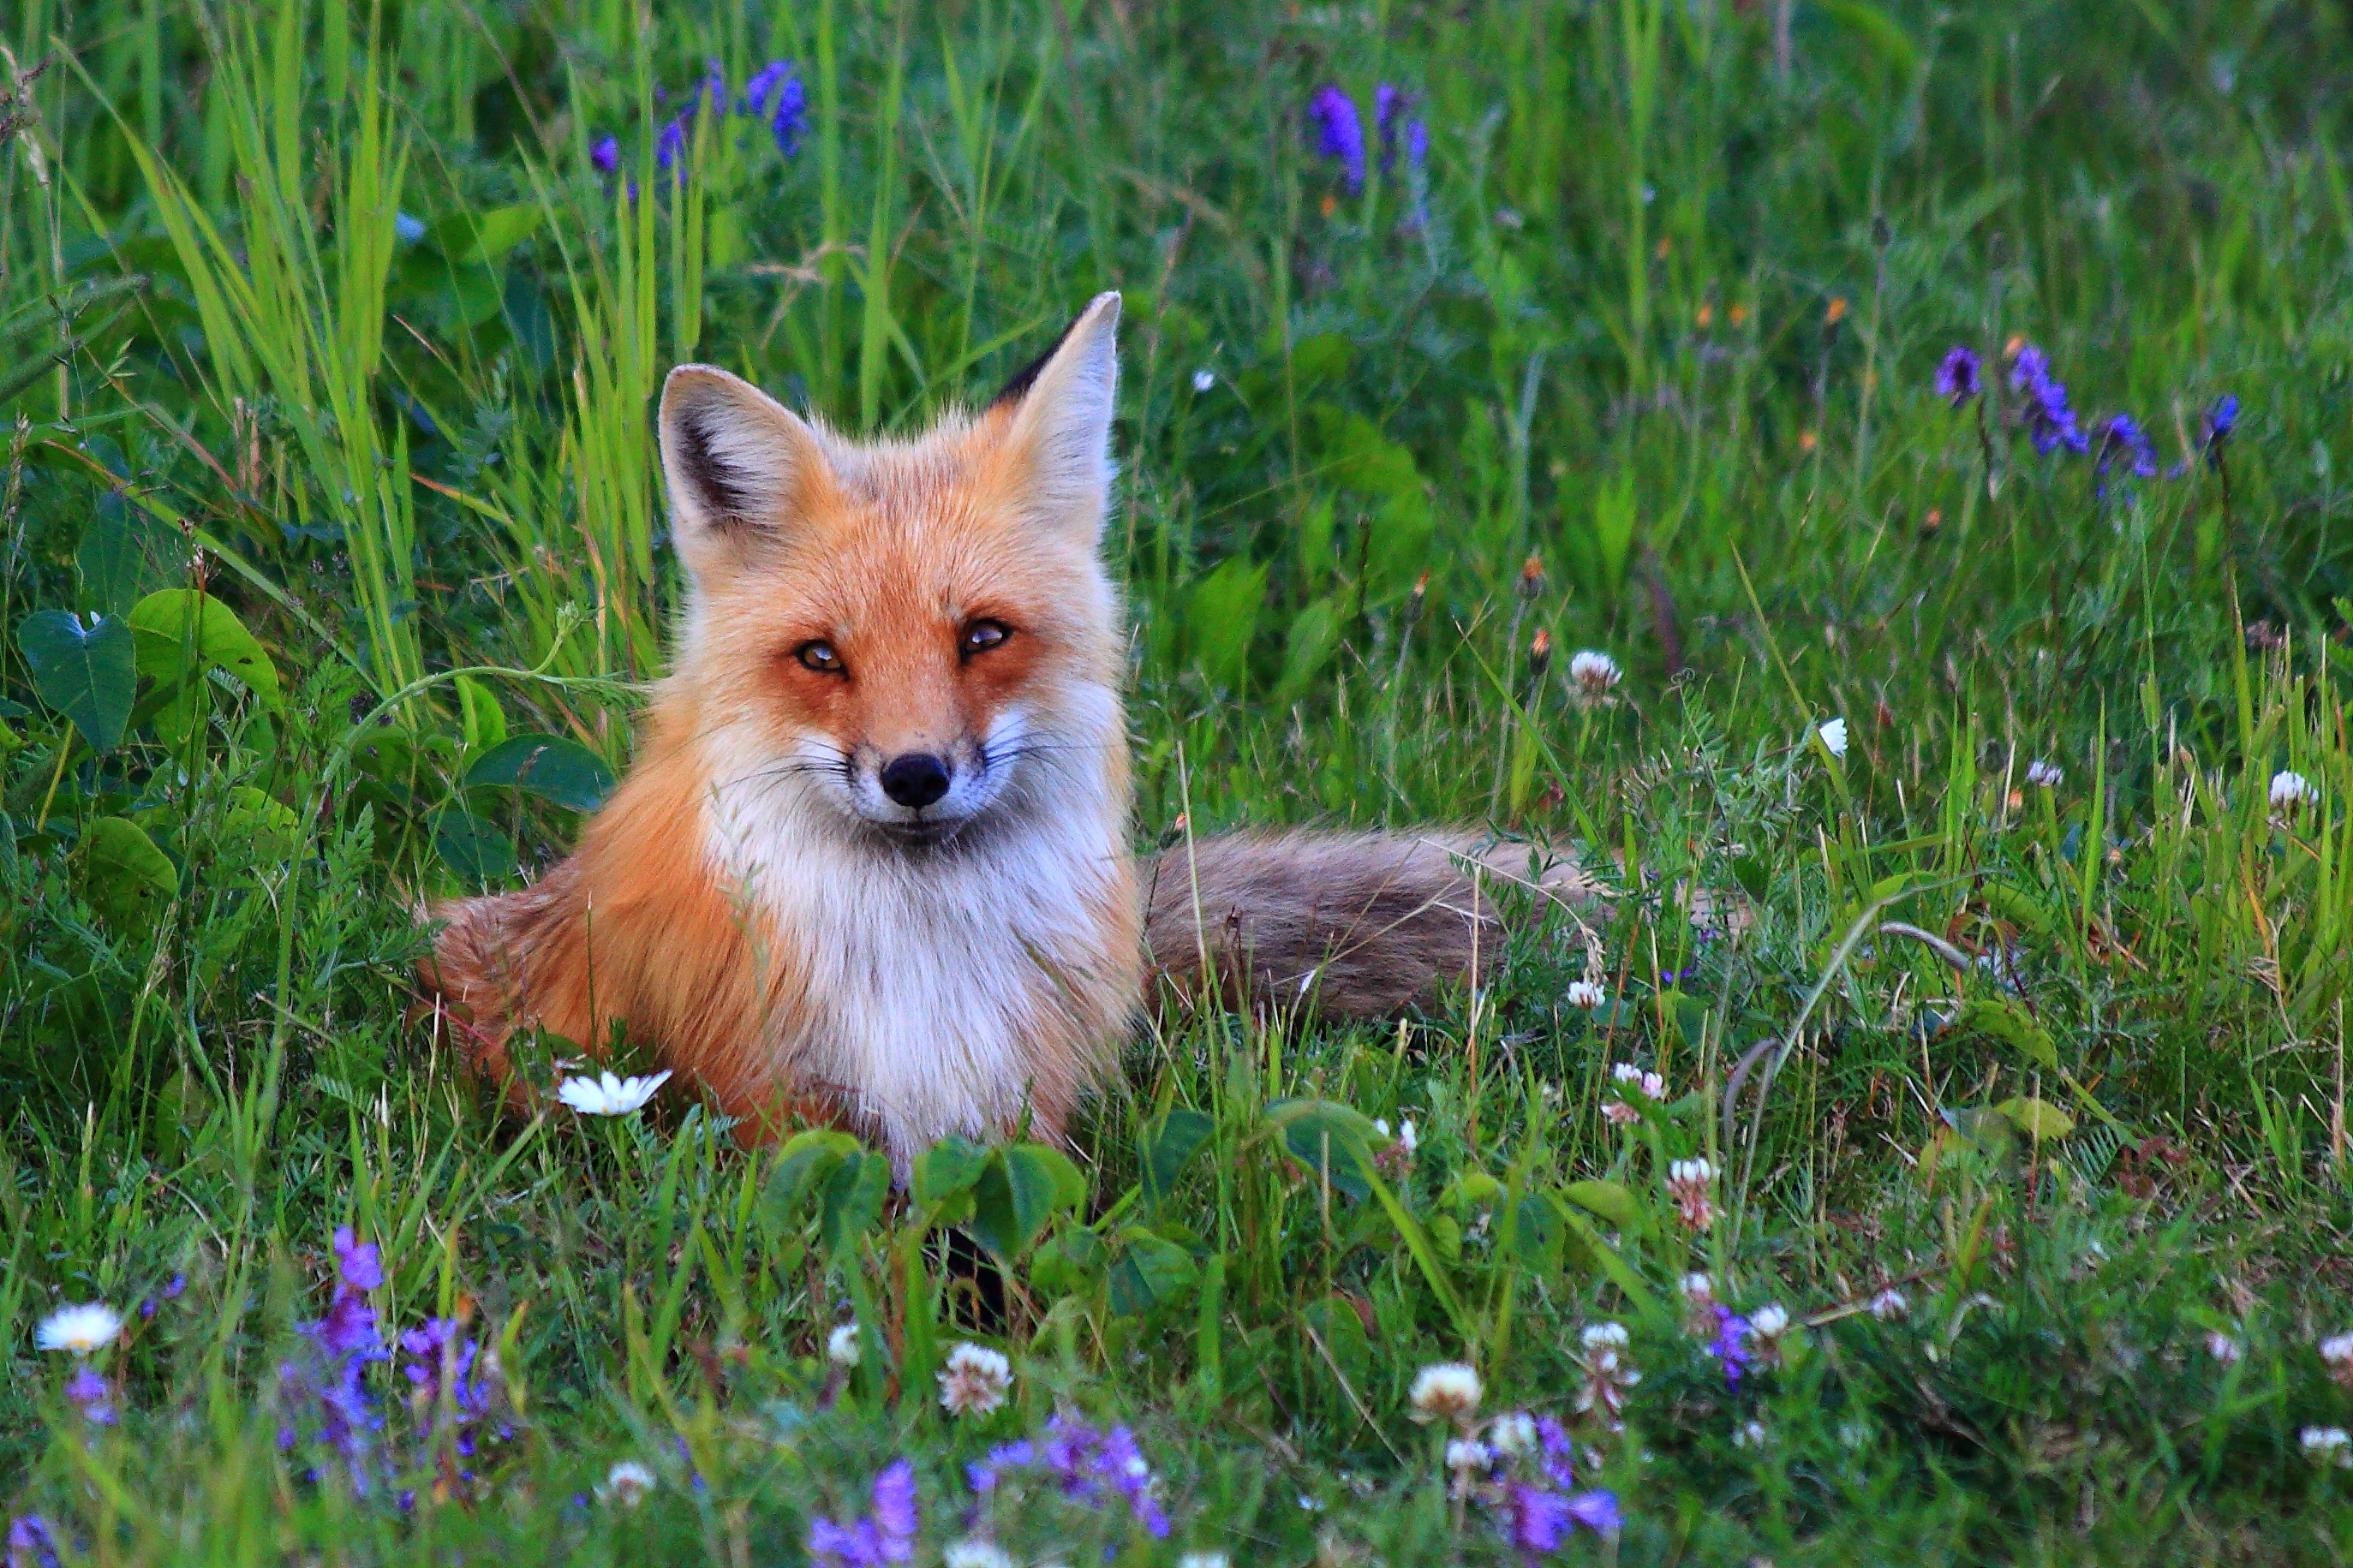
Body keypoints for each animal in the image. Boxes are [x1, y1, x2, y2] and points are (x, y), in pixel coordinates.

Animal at [423, 294, 1599, 1171]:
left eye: (983, 635)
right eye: (821, 658)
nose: (913, 774)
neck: (919, 966)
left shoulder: (1021, 1123)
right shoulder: (771, 1108)